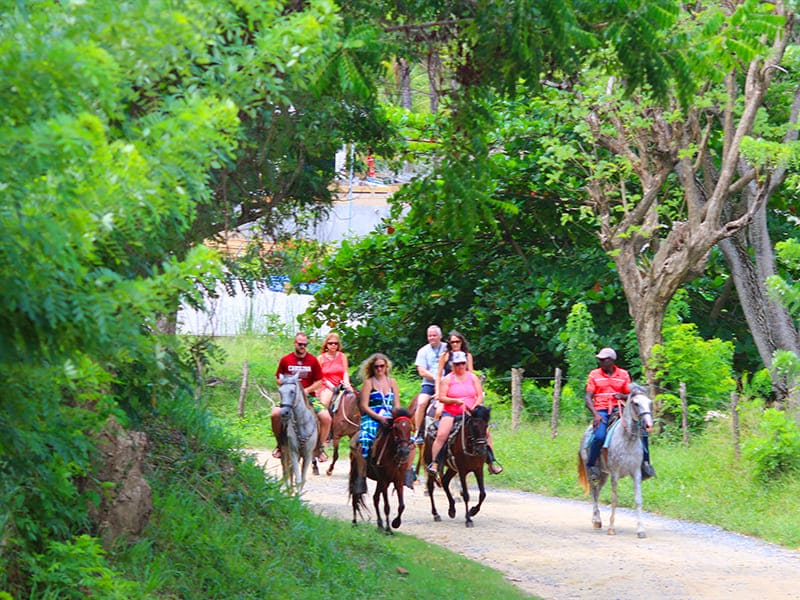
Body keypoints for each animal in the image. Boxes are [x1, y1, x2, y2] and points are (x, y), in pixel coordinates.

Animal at [348, 408, 416, 536]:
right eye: (395, 428)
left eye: (410, 428)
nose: (404, 451)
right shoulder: (384, 480)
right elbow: (387, 507)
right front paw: (389, 529)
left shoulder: (398, 481)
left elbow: (401, 506)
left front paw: (395, 523)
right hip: (358, 473)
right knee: (355, 495)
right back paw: (354, 522)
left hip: (380, 480)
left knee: (375, 498)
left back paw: (379, 525)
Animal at [580, 384, 652, 540]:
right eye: (636, 403)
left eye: (650, 402)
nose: (649, 425)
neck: (628, 440)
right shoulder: (615, 474)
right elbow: (614, 500)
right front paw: (611, 528)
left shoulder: (636, 473)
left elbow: (638, 500)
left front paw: (641, 530)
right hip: (592, 471)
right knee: (593, 492)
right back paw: (596, 520)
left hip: (604, 475)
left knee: (597, 491)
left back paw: (597, 519)